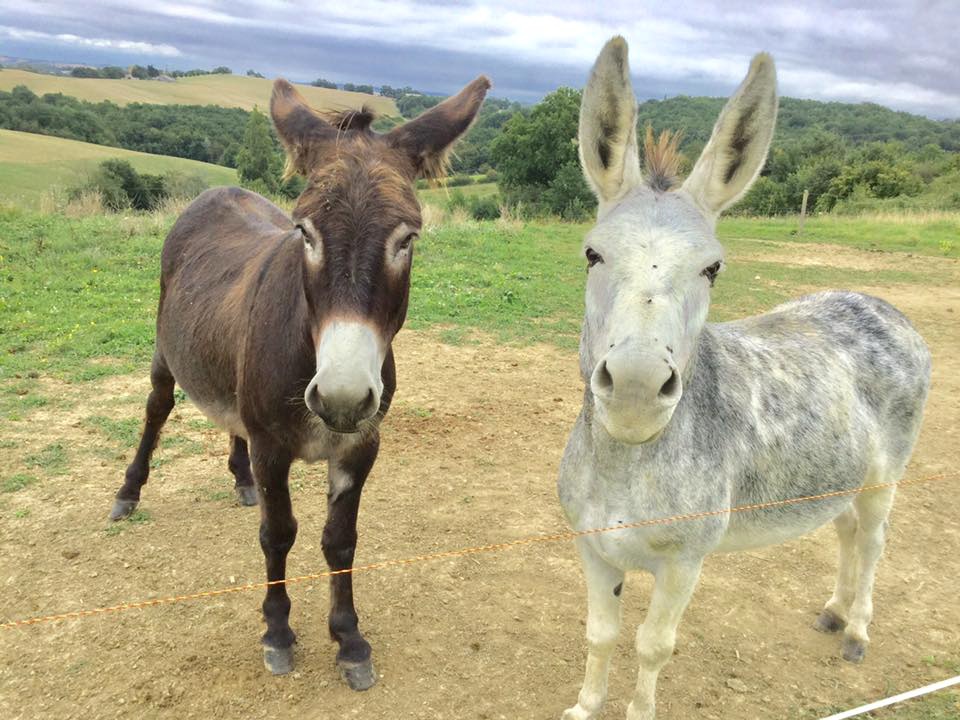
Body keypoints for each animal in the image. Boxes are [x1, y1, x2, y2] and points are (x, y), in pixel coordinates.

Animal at [109, 74, 490, 689]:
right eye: (305, 233)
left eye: (407, 238)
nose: (340, 397)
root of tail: (220, 189)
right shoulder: (271, 447)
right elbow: (278, 533)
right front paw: (278, 633)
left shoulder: (360, 446)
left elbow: (340, 540)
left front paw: (350, 640)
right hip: (166, 355)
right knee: (155, 410)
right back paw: (127, 493)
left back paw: (240, 481)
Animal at [558, 37, 930, 720]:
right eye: (592, 254)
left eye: (713, 268)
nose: (635, 391)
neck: (628, 465)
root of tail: (877, 301)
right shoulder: (593, 546)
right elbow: (600, 634)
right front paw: (585, 708)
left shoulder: (685, 561)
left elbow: (652, 646)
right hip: (835, 474)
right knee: (846, 530)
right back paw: (834, 613)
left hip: (885, 476)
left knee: (873, 542)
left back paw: (858, 631)